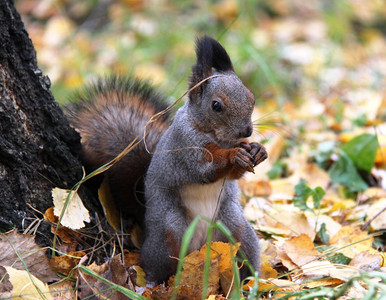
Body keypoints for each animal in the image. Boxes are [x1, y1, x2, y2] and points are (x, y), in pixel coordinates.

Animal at [67, 35, 268, 284]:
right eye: (216, 106)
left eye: (251, 97)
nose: (247, 131)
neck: (217, 137)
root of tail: (200, 246)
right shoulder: (185, 148)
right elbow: (206, 169)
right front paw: (234, 155)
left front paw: (258, 150)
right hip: (169, 230)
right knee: (157, 264)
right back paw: (154, 283)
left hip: (235, 229)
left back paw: (250, 280)